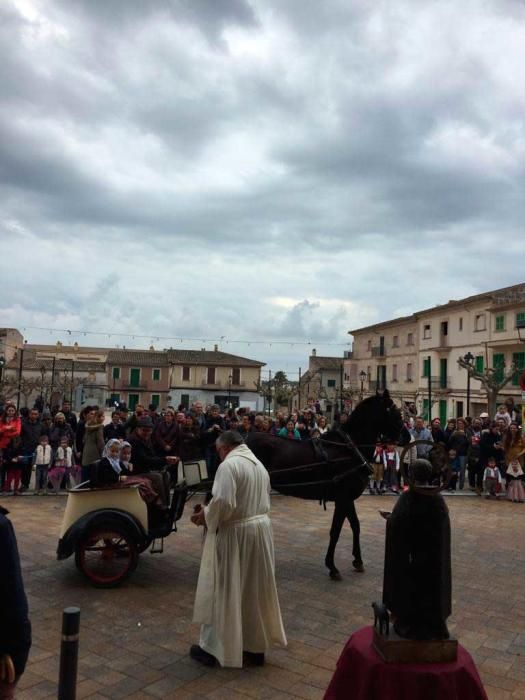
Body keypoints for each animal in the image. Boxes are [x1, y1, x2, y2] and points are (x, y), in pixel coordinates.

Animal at [245, 394, 402, 580]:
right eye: (393, 411)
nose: (406, 436)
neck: (350, 450)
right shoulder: (343, 499)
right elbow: (336, 531)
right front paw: (332, 567)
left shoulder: (347, 499)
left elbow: (355, 526)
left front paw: (357, 560)